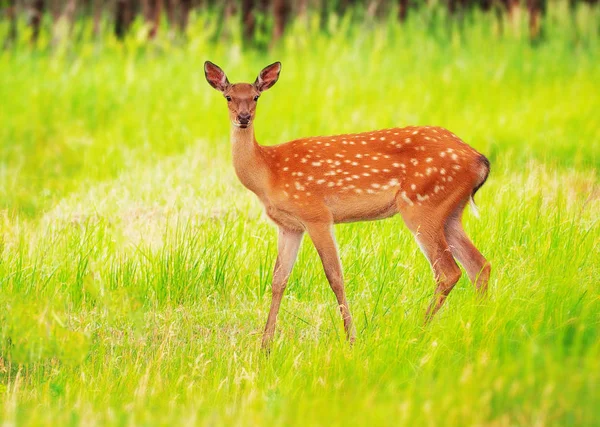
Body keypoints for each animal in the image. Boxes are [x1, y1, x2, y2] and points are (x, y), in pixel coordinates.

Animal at [204, 60, 490, 350]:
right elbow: (279, 279)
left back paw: (419, 331)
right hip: (450, 212)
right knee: (479, 266)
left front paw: (351, 339)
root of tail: (480, 160)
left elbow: (335, 277)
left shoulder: (316, 214)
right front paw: (265, 346)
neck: (268, 172)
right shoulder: (289, 225)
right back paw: (477, 326)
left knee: (448, 272)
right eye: (228, 96)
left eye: (256, 96)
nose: (243, 117)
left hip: (421, 205)